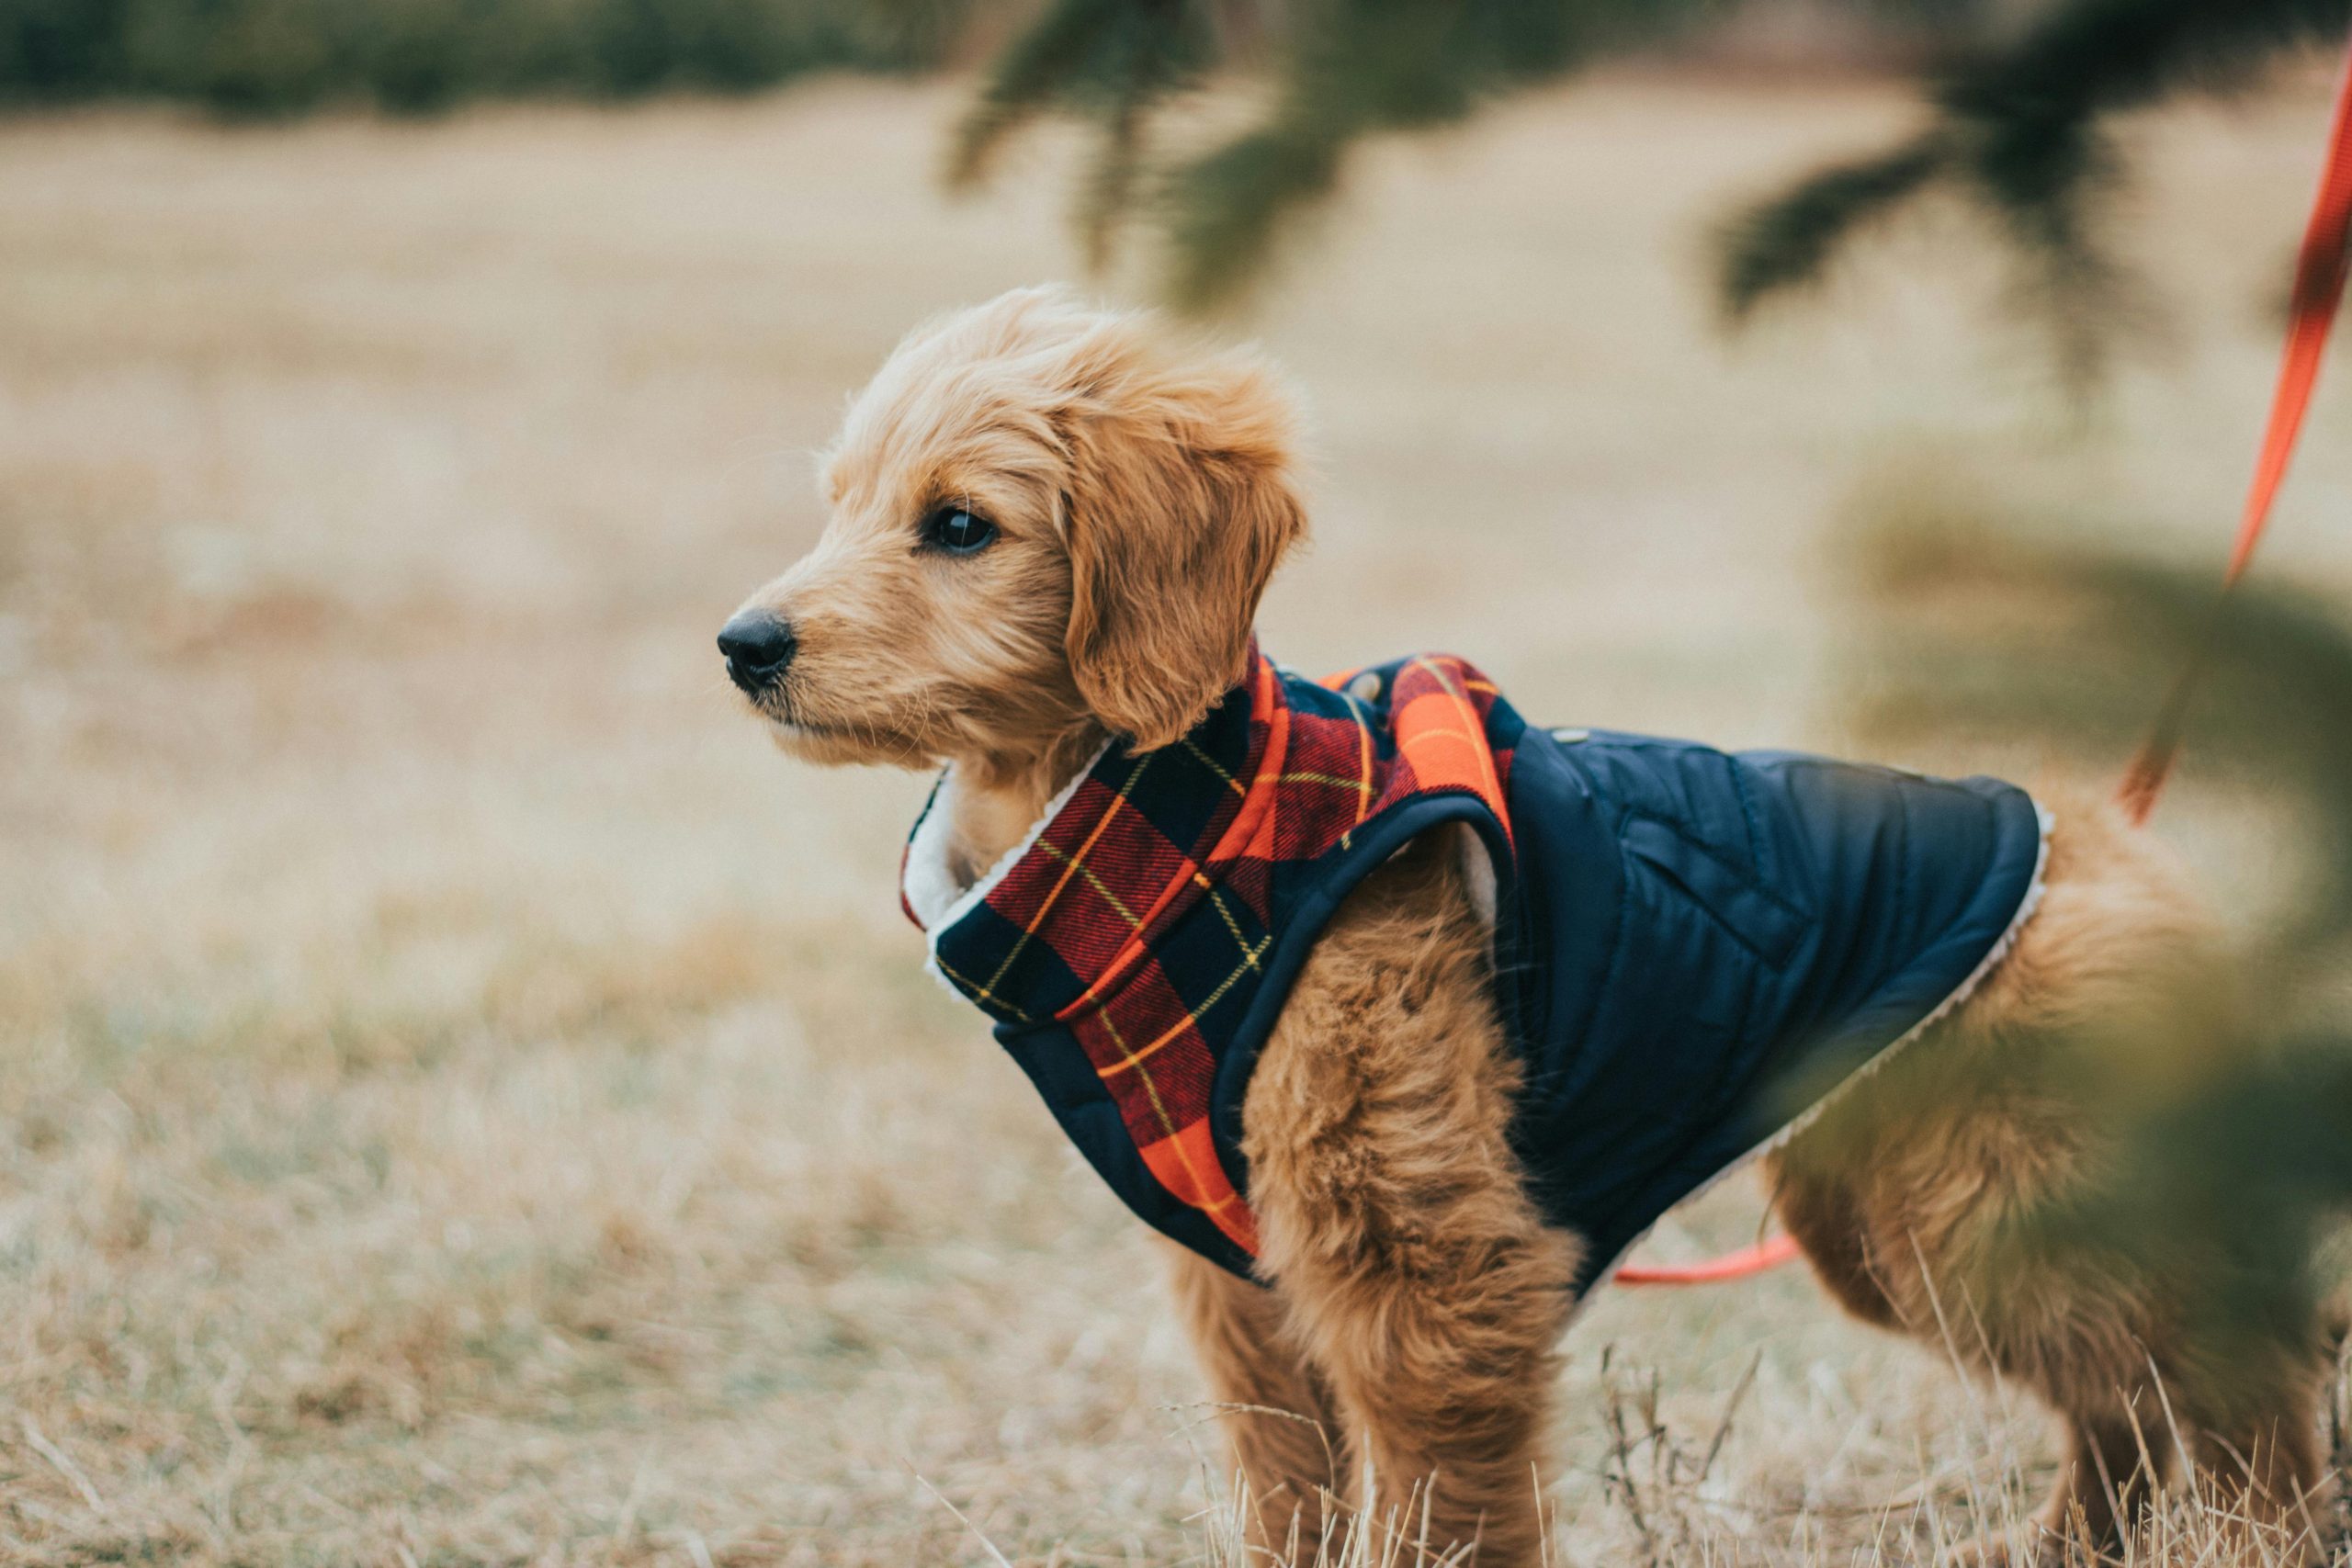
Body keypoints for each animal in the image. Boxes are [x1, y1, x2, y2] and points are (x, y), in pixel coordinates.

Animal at [715, 288, 2333, 1561]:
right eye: (840, 502)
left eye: (959, 526)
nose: (742, 645)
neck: (1192, 833)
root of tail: (2106, 833)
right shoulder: (1245, 1285)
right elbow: (1290, 1490)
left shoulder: (1427, 1263)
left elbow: (1441, 1508)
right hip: (1914, 1214)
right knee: (2126, 1391)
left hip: (1983, 1197)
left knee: (2229, 1352)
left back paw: (2261, 1531)